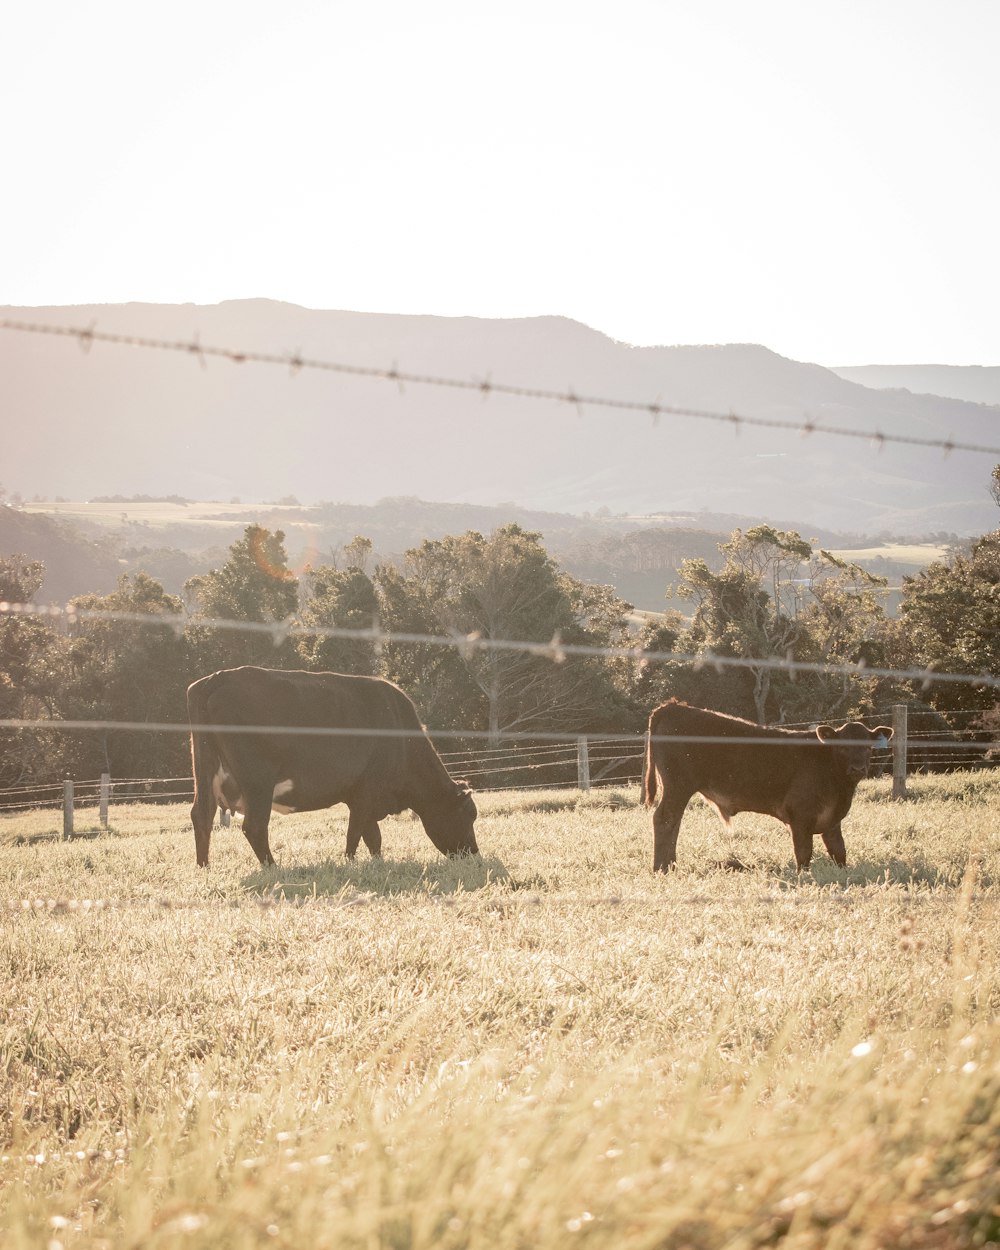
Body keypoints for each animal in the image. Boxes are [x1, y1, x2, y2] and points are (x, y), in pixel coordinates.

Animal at [192, 665, 485, 870]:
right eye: (468, 814)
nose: (474, 853)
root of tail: (216, 678)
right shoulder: (367, 792)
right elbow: (355, 833)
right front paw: (350, 863)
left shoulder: (361, 798)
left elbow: (372, 836)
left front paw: (376, 862)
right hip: (258, 783)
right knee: (254, 826)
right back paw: (273, 868)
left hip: (205, 771)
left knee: (202, 816)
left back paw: (204, 867)